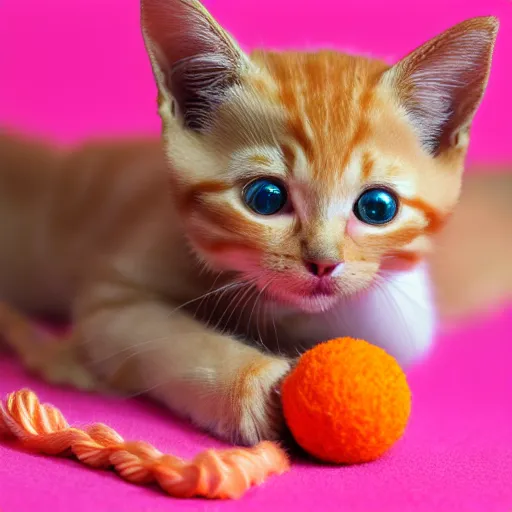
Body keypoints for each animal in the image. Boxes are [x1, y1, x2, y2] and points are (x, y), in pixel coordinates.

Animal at [0, 1, 498, 444]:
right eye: (266, 199)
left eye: (378, 208)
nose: (322, 263)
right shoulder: (111, 300)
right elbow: (167, 339)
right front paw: (257, 386)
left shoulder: (404, 320)